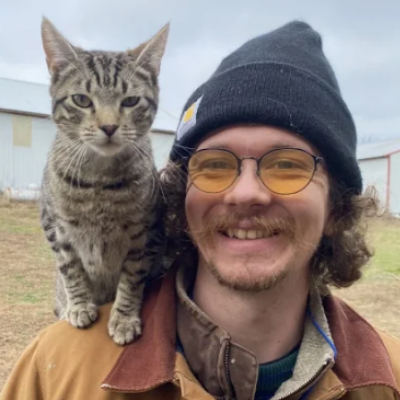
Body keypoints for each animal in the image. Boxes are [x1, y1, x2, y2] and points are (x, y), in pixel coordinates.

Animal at [39, 17, 169, 345]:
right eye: (81, 100)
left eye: (131, 101)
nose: (109, 126)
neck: (98, 182)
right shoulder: (54, 226)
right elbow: (70, 267)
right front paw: (79, 305)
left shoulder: (145, 233)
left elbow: (132, 277)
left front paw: (123, 318)